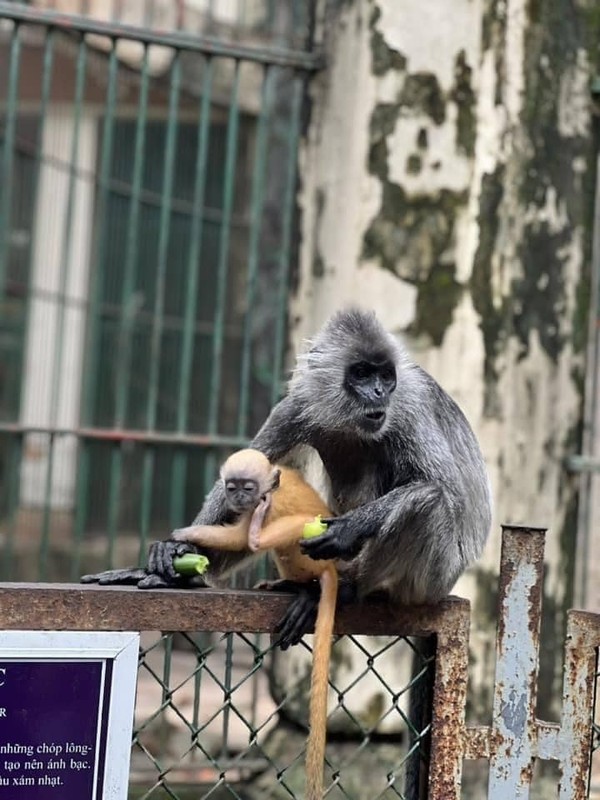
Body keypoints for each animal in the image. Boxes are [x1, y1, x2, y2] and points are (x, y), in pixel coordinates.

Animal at [173, 450, 338, 800]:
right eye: (232, 487)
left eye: (247, 488)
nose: (238, 498)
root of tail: (331, 568)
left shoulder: (268, 502)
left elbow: (238, 539)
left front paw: (184, 535)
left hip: (308, 552)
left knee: (288, 530)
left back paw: (263, 542)